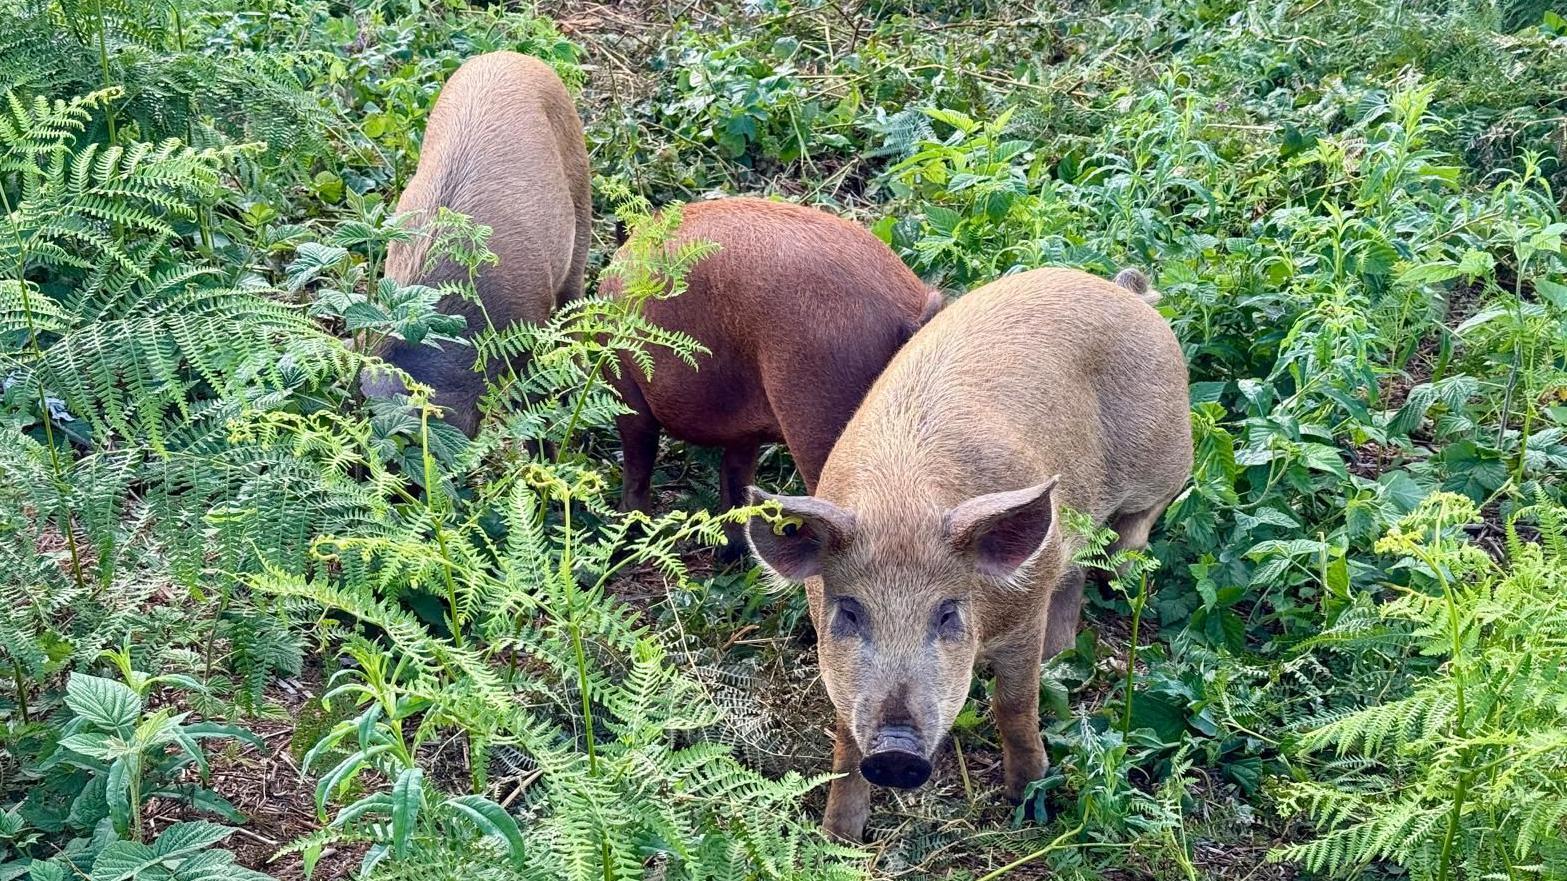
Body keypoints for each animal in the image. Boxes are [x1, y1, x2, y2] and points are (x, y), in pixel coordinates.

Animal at [603, 197, 943, 560]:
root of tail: (907, 312)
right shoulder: (743, 429)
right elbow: (736, 475)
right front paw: (733, 550)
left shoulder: (623, 384)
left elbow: (638, 460)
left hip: (818, 408)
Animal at [745, 266, 1191, 841]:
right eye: (849, 613)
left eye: (948, 614)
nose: (896, 751)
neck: (902, 503)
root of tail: (1127, 291)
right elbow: (845, 739)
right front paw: (837, 835)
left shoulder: (1023, 610)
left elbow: (1013, 704)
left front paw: (1030, 800)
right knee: (1076, 573)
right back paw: (1061, 659)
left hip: (1167, 460)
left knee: (1132, 534)